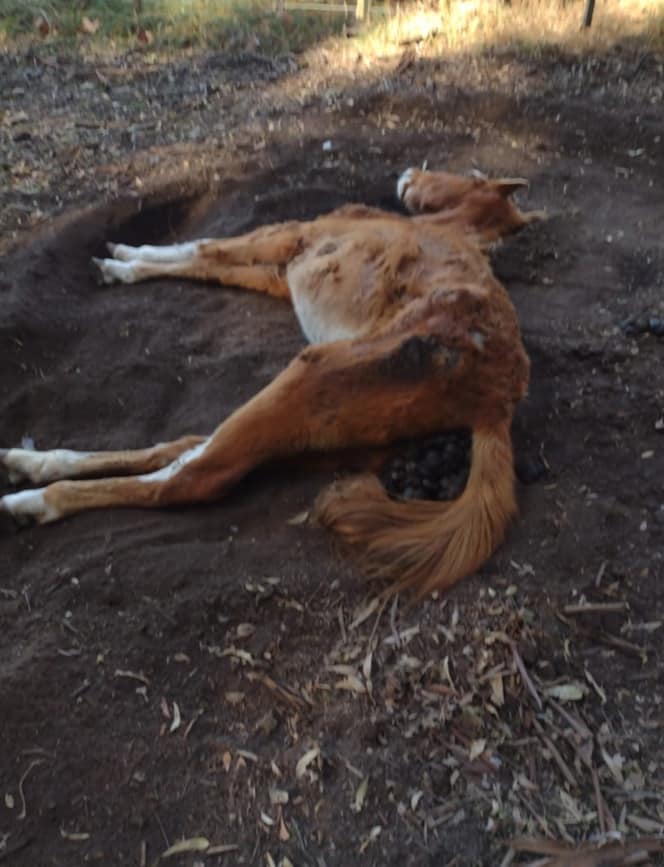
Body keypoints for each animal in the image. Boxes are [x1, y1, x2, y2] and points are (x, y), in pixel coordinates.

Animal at [0, 168, 545, 596]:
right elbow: (213, 265)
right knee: (185, 450)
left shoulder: (291, 235)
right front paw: (126, 262)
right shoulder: (284, 271)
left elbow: (206, 248)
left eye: (469, 175)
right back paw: (32, 463)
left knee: (191, 478)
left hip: (308, 381)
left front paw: (122, 259)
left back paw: (34, 501)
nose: (410, 174)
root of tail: (495, 404)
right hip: (321, 433)